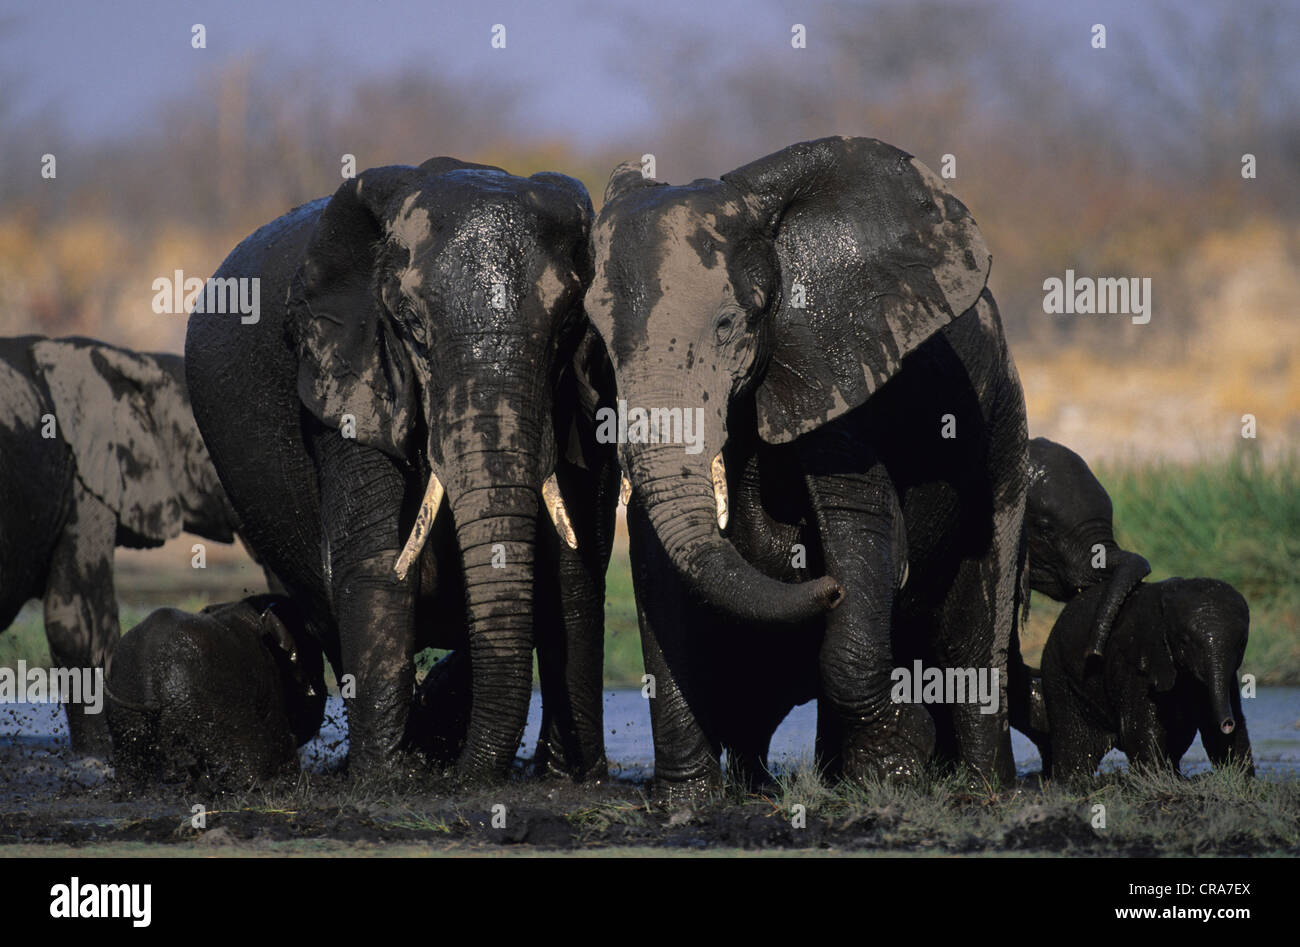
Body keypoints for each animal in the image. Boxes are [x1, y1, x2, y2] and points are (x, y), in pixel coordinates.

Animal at [185, 157, 619, 783]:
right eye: (411, 325)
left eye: (566, 328)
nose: (461, 777)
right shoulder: (345, 375)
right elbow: (373, 561)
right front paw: (385, 780)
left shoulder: (593, 389)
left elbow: (575, 564)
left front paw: (571, 779)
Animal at [585, 136, 1030, 796]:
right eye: (598, 337)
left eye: (727, 325)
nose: (824, 587)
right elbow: (656, 563)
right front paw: (685, 800)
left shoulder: (838, 373)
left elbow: (861, 525)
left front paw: (897, 770)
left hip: (1001, 422)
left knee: (980, 627)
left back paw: (981, 790)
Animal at [1040, 577, 1253, 780]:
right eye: (1185, 641)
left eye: (1242, 643)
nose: (1227, 724)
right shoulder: (1132, 661)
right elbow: (1141, 729)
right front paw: (1157, 783)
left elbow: (1219, 731)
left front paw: (1243, 784)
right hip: (1058, 675)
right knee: (1076, 748)